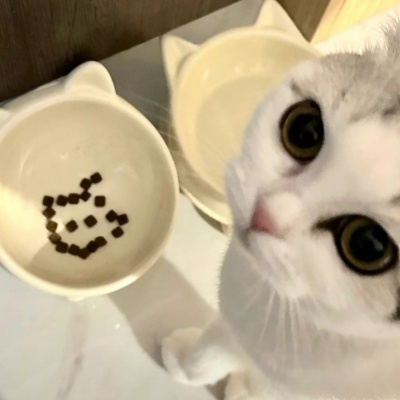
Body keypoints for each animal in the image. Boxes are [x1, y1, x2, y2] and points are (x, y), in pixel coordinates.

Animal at [162, 23, 400, 400]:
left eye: (367, 244)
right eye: (304, 131)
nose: (265, 212)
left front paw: (242, 388)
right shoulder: (241, 329)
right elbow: (212, 350)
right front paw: (186, 361)